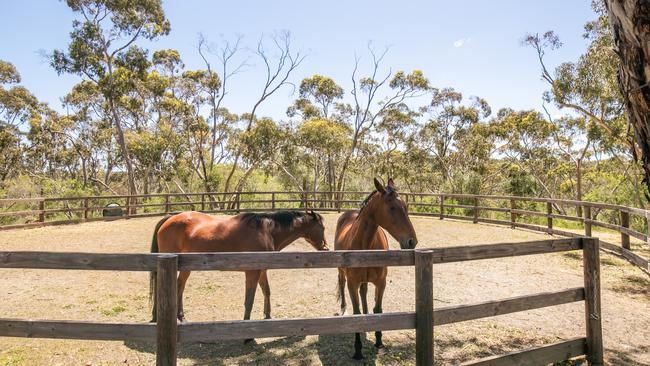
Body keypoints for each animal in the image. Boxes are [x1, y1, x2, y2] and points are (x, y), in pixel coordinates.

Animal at [149, 209, 326, 326]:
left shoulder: (262, 270)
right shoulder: (252, 272)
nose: (325, 247)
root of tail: (170, 218)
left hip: (186, 267)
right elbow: (249, 300)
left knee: (179, 286)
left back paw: (177, 317)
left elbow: (266, 291)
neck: (266, 231)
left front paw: (268, 316)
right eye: (322, 228)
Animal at [334, 178, 416, 360]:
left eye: (405, 206)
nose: (412, 241)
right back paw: (343, 307)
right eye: (392, 207)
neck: (366, 246)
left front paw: (379, 341)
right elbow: (356, 314)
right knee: (342, 284)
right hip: (342, 272)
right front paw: (358, 350)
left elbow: (378, 309)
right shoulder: (352, 284)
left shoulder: (381, 282)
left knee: (364, 292)